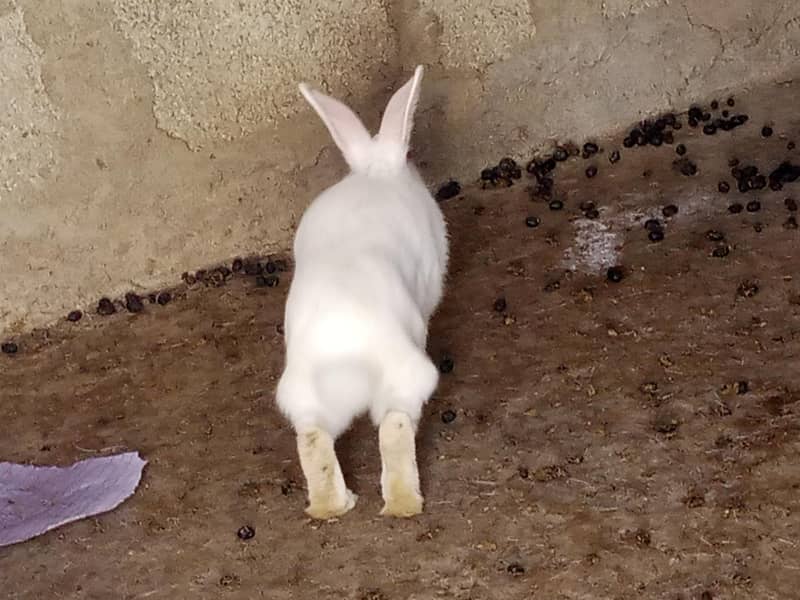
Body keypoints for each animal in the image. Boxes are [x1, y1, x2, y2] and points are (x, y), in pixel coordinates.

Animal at [275, 65, 448, 520]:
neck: (376, 170)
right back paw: (404, 504)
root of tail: (343, 351)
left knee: (313, 438)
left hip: (304, 395)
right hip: (407, 375)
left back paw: (333, 506)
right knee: (394, 424)